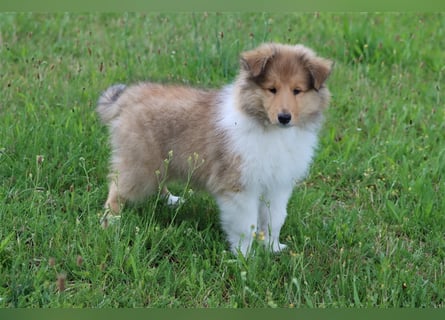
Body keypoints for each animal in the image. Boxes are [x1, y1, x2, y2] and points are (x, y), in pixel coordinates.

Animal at [98, 43, 332, 256]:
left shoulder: (278, 185)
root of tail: (129, 96)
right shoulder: (240, 186)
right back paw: (111, 223)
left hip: (160, 161)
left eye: (297, 91)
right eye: (272, 89)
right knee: (116, 190)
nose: (284, 117)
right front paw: (246, 257)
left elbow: (274, 220)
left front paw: (273, 248)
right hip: (140, 164)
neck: (270, 130)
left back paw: (171, 200)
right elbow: (246, 224)